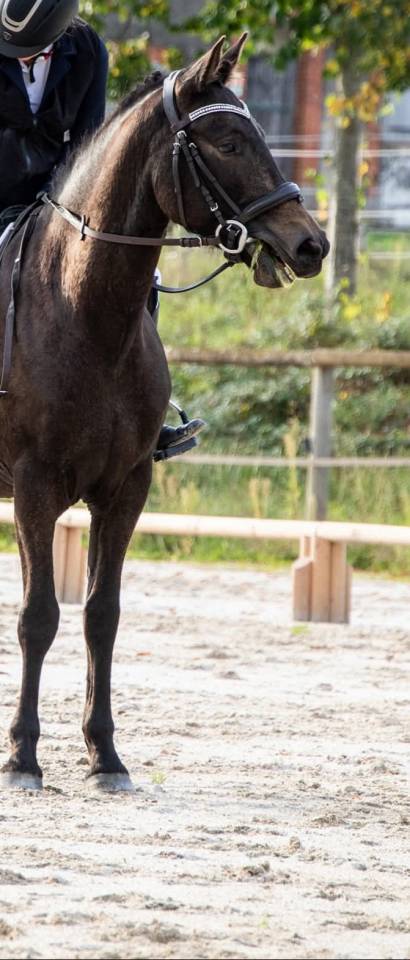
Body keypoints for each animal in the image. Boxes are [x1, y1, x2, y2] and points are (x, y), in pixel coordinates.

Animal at [0, 34, 329, 791]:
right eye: (228, 141)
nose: (311, 245)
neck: (84, 312)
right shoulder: (33, 486)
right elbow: (37, 616)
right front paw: (23, 757)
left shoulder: (127, 487)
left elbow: (102, 614)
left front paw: (104, 756)